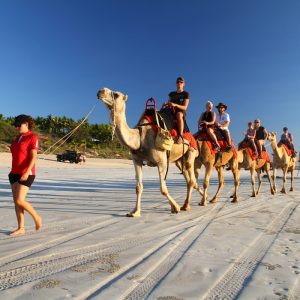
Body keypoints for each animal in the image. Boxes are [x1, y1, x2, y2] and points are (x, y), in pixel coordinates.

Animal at [97, 86, 198, 216]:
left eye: (116, 95)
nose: (101, 91)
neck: (140, 137)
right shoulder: (137, 160)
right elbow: (138, 187)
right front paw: (135, 212)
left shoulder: (162, 161)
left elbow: (163, 189)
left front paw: (176, 207)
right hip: (179, 159)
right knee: (188, 177)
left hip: (191, 151)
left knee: (191, 178)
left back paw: (187, 205)